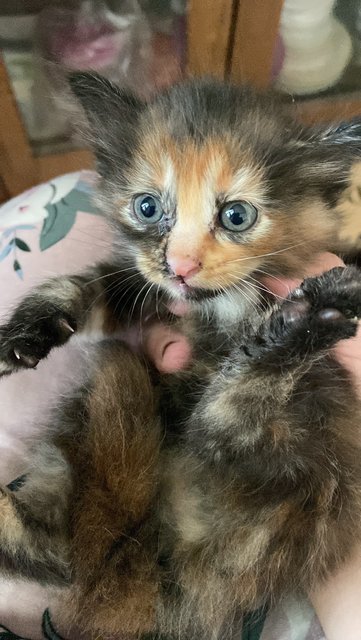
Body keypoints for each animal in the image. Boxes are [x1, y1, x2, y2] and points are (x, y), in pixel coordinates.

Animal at [0, 76, 360, 640]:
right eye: (147, 207)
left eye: (237, 216)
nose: (181, 265)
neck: (216, 305)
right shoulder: (143, 290)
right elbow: (90, 287)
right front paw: (31, 327)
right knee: (62, 553)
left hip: (303, 450)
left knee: (222, 423)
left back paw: (304, 322)